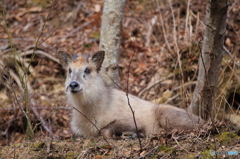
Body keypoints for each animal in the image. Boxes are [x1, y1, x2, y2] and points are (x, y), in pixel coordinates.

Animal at [58, 50, 204, 139]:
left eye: (87, 70)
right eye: (69, 70)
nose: (73, 85)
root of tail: (205, 120)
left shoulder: (133, 122)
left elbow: (104, 130)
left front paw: (134, 134)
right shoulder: (78, 132)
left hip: (166, 114)